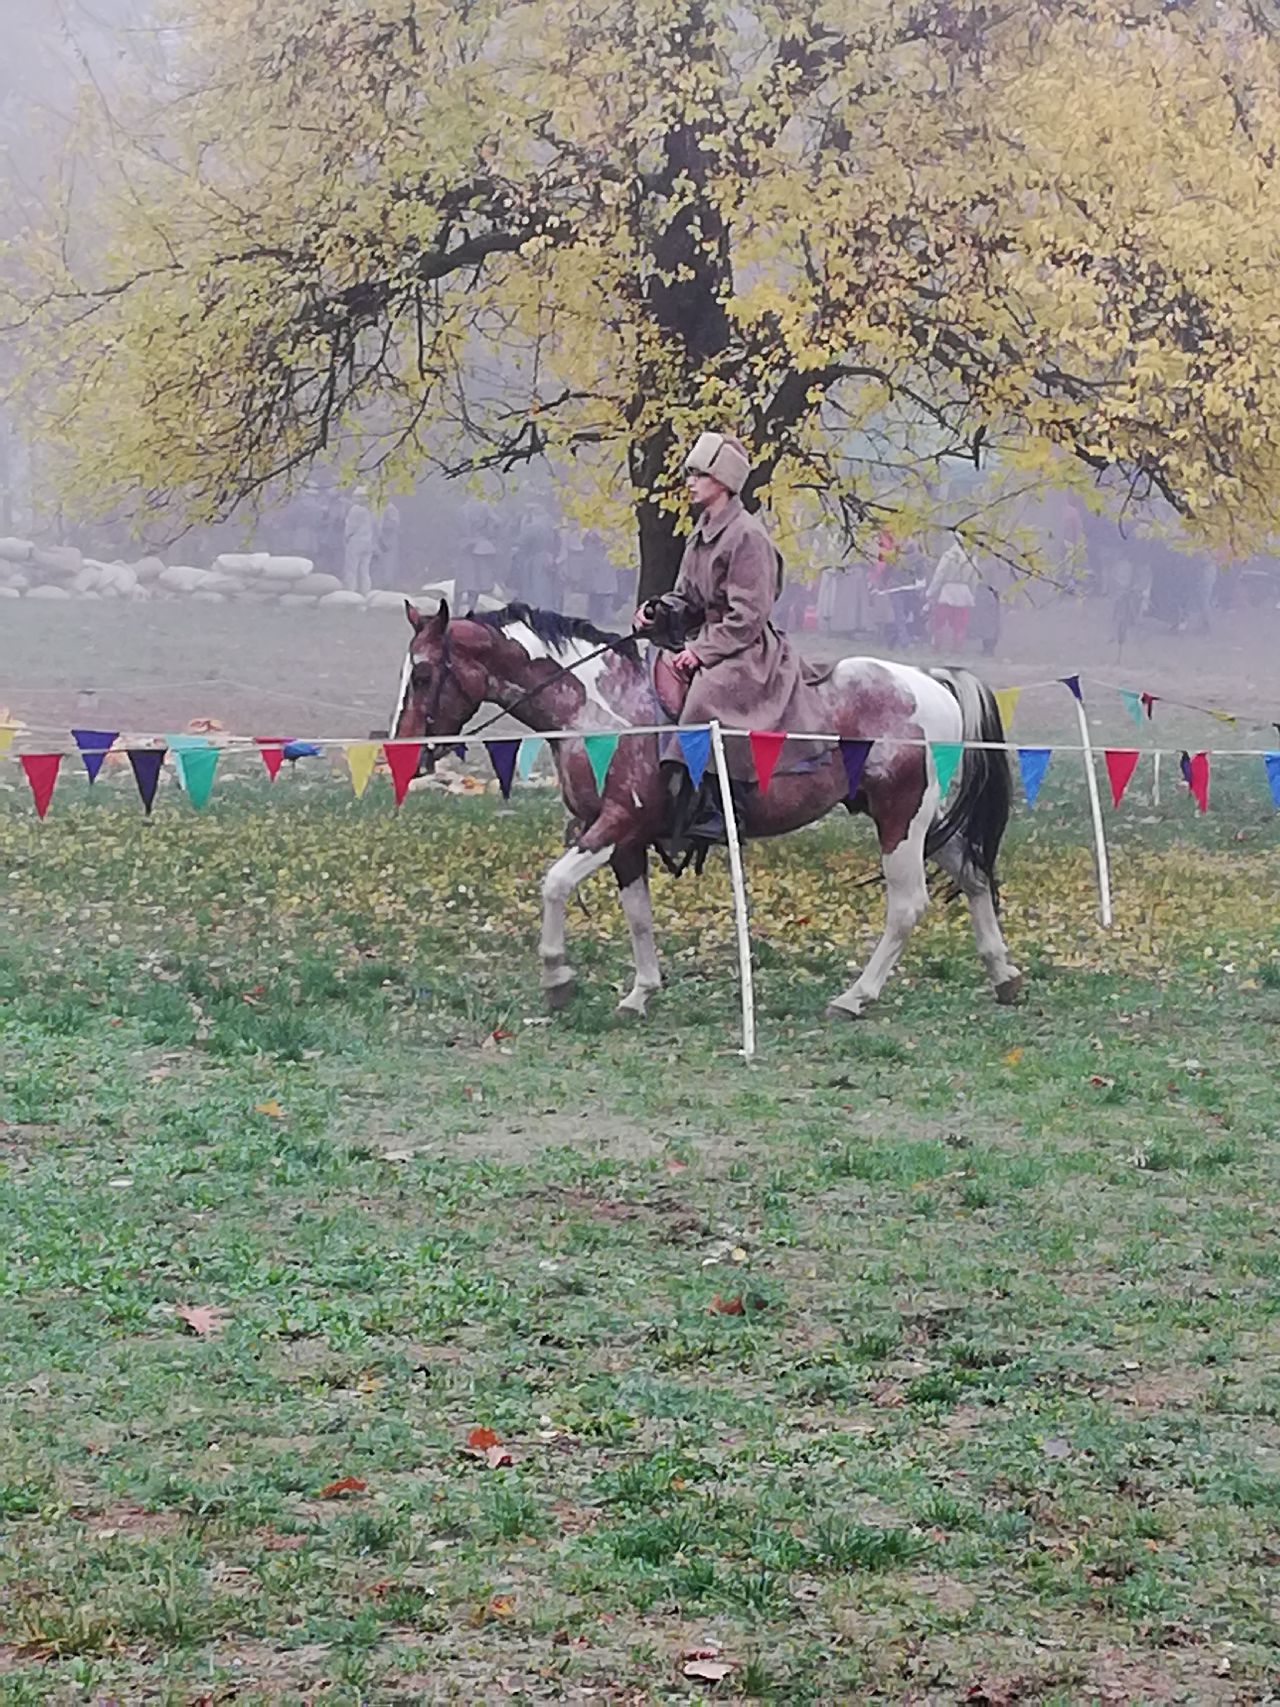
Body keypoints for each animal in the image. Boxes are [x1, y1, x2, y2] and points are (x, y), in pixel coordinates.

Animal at [390, 599, 1023, 1021]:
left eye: (422, 674)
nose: (406, 754)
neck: (601, 706)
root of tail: (930, 680)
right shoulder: (622, 839)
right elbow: (638, 915)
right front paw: (641, 992)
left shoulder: (614, 823)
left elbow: (554, 885)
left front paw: (557, 977)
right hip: (921, 823)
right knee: (973, 875)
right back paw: (1004, 975)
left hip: (900, 820)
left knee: (907, 905)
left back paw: (855, 996)